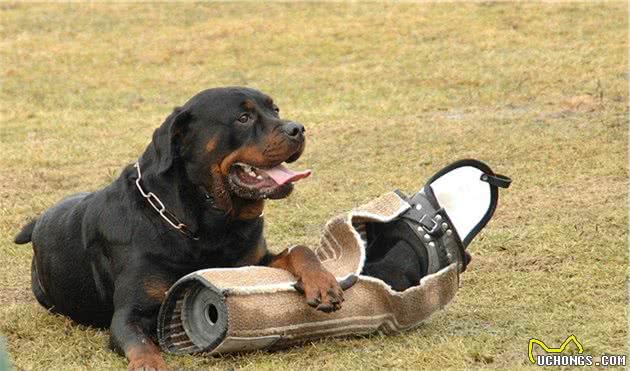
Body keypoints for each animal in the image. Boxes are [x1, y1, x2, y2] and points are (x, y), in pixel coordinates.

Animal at [14, 88, 348, 371]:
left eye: (275, 109)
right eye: (243, 117)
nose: (298, 128)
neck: (209, 226)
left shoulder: (253, 262)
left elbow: (299, 250)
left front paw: (323, 283)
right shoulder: (128, 314)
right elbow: (141, 345)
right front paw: (150, 364)